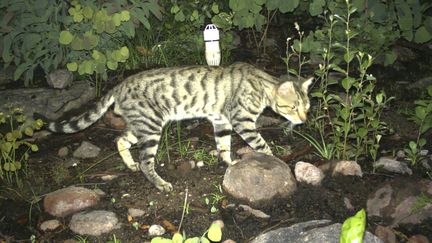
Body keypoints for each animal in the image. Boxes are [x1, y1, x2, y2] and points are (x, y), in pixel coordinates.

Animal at [43, 62, 310, 192]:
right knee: (146, 162)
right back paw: (160, 183)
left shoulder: (222, 122)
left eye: (307, 106)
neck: (262, 87)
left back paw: (129, 164)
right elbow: (262, 145)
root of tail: (119, 86)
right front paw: (275, 160)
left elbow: (223, 146)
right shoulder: (241, 121)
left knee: (120, 140)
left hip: (141, 125)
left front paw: (230, 163)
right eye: (293, 107)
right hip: (151, 127)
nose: (304, 120)